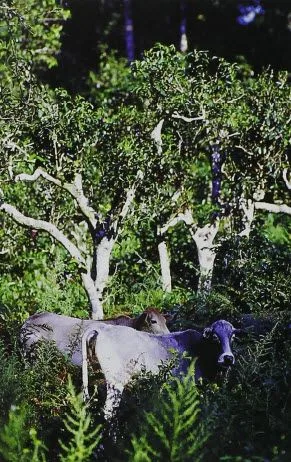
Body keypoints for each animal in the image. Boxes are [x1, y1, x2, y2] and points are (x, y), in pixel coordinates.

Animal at [81, 320, 240, 420]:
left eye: (232, 337)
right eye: (215, 337)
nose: (228, 358)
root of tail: (103, 328)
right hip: (116, 383)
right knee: (109, 413)